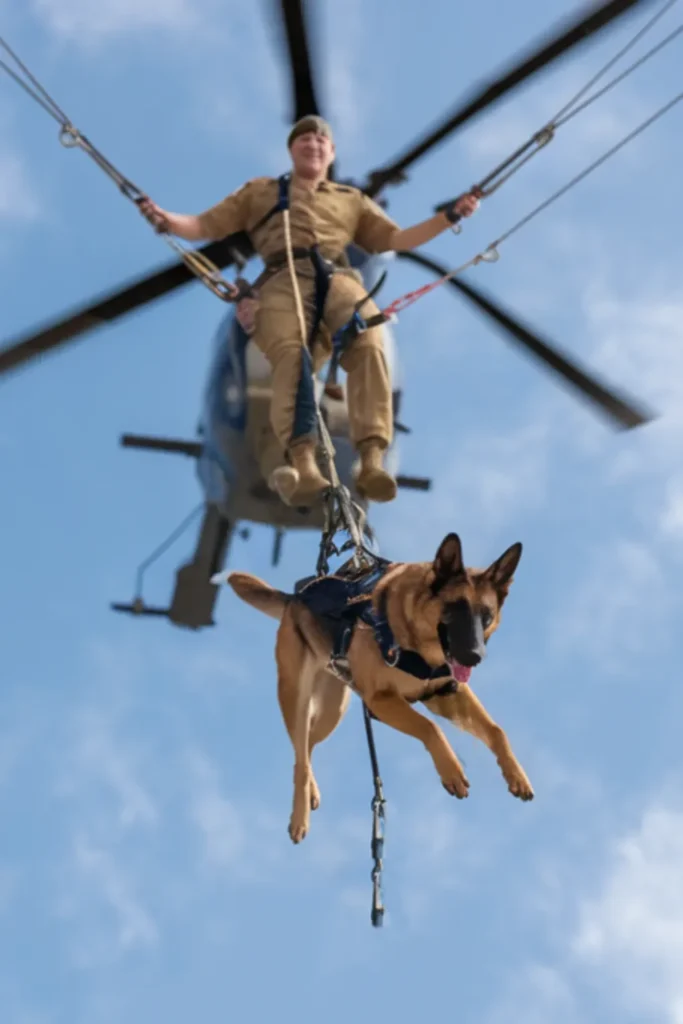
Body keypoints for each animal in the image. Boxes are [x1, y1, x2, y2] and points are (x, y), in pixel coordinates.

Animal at [227, 532, 532, 843]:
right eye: (454, 609)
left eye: (486, 616)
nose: (475, 656)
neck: (415, 639)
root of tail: (295, 598)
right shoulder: (380, 702)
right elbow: (429, 727)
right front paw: (452, 770)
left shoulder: (446, 694)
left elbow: (496, 731)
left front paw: (516, 774)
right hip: (296, 699)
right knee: (300, 756)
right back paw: (299, 818)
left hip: (331, 713)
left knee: (307, 748)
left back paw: (311, 791)